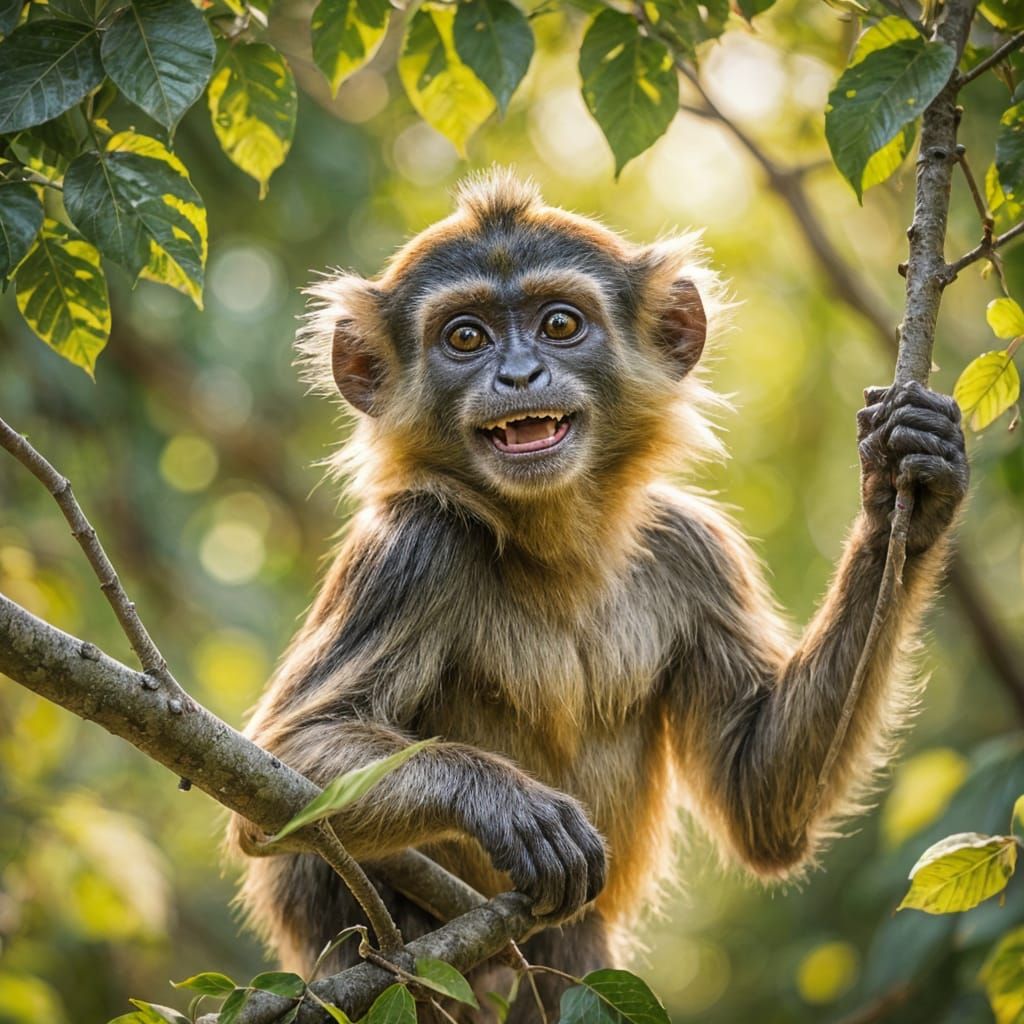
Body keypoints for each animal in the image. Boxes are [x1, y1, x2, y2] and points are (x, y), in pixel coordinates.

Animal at [227, 169, 968, 1021]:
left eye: (559, 324)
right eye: (465, 338)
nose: (519, 377)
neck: (555, 551)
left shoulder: (692, 550)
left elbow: (762, 808)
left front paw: (906, 497)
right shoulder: (414, 548)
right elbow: (278, 772)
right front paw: (507, 803)